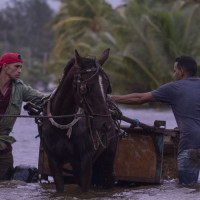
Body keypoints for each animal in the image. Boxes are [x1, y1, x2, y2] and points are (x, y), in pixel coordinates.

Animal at [40, 48, 119, 192]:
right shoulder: (54, 161)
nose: (106, 124)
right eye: (87, 87)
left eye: (107, 87)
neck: (64, 122)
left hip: (108, 157)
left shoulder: (86, 159)